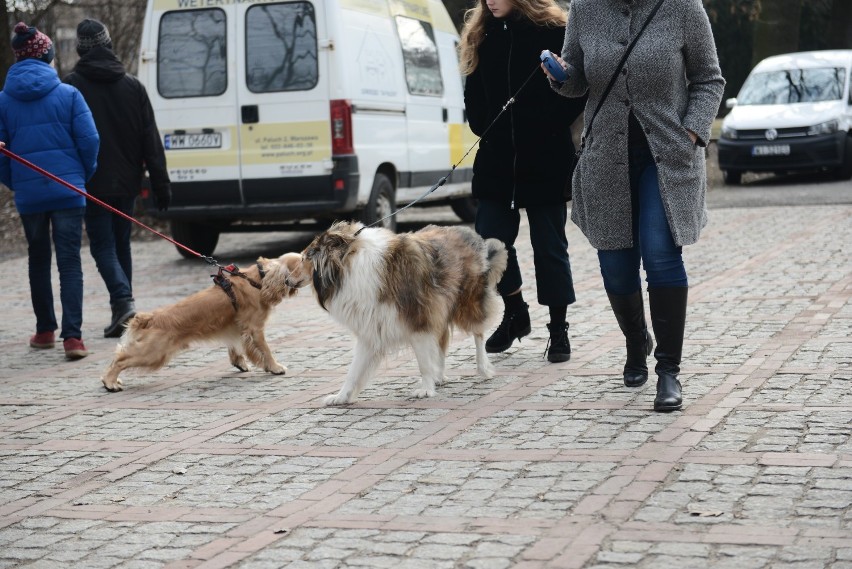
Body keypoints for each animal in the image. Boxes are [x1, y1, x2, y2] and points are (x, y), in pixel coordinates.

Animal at [100, 253, 302, 390]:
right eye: (301, 264)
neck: (257, 278)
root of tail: (151, 318)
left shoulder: (236, 326)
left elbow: (235, 347)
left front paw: (240, 363)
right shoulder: (255, 329)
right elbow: (266, 350)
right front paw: (275, 367)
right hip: (153, 353)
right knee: (120, 359)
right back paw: (110, 382)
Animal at [286, 222, 506, 404]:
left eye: (304, 258)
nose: (287, 280)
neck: (349, 264)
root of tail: (467, 231)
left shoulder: (419, 320)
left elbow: (423, 362)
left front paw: (426, 390)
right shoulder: (371, 330)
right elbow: (354, 370)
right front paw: (341, 397)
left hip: (468, 302)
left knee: (478, 333)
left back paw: (483, 368)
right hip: (441, 307)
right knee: (442, 341)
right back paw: (440, 376)